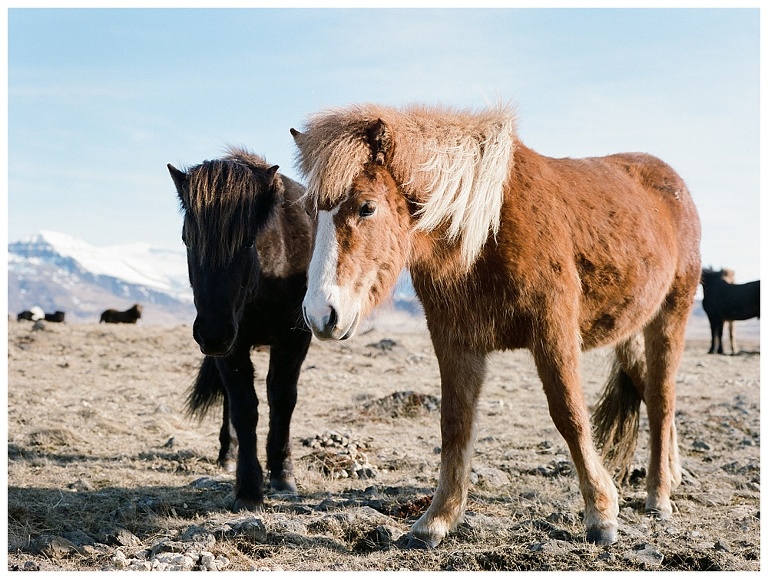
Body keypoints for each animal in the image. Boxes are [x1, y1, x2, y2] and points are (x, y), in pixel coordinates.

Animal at [167, 146, 312, 512]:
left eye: (248, 242)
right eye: (187, 239)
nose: (213, 333)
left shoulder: (295, 339)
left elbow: (282, 399)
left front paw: (283, 475)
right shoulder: (233, 347)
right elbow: (243, 407)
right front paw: (247, 488)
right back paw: (227, 453)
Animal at [292, 103, 704, 548]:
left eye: (367, 207)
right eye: (311, 210)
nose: (321, 314)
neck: (486, 231)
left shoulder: (553, 330)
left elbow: (570, 415)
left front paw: (601, 514)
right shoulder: (455, 340)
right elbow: (455, 424)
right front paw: (436, 520)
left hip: (671, 314)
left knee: (661, 399)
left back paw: (658, 496)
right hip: (629, 328)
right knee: (648, 389)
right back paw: (672, 475)